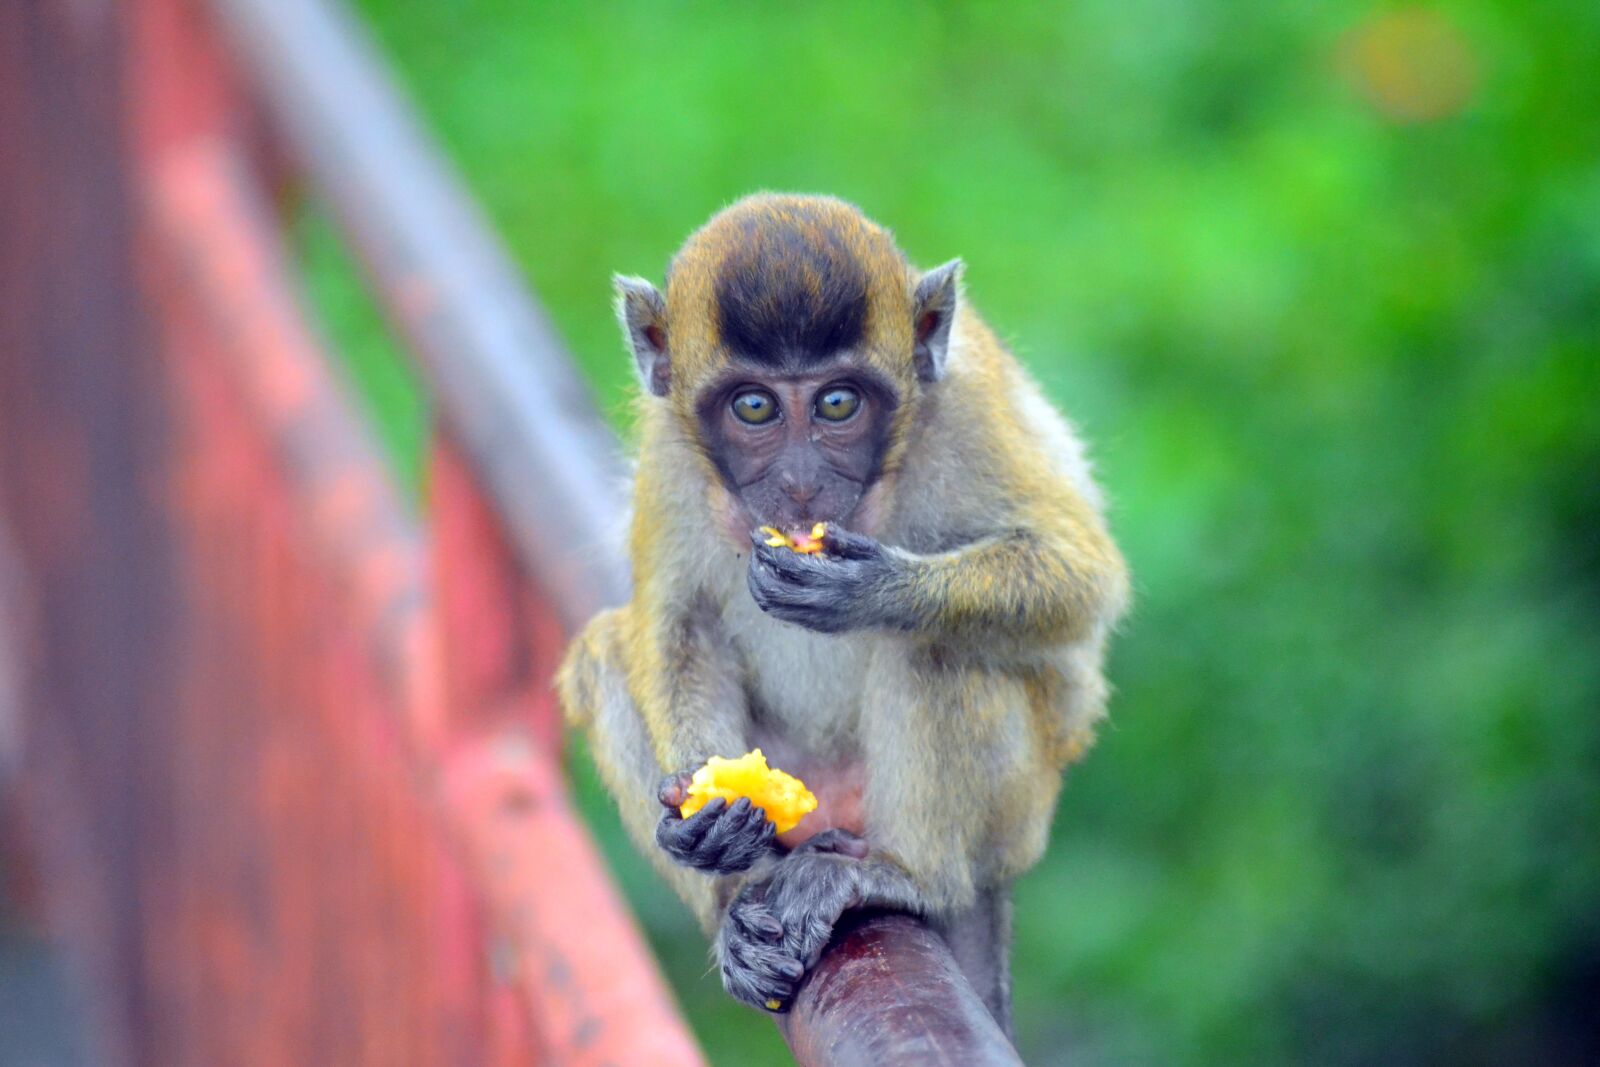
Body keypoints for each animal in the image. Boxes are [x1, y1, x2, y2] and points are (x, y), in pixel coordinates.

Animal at [556, 193, 1128, 1028]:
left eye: (837, 402)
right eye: (754, 405)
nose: (799, 484)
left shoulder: (968, 404)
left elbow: (1083, 580)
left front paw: (873, 588)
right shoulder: (670, 448)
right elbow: (678, 623)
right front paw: (705, 807)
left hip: (1018, 813)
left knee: (935, 647)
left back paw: (905, 873)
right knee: (602, 655)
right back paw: (734, 901)